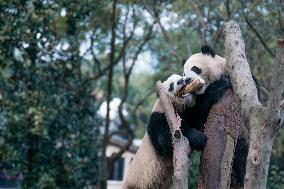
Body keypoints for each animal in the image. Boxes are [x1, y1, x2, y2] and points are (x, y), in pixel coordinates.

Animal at [182, 45, 260, 188]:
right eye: (184, 74)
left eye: (195, 68)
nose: (187, 80)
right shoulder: (197, 101)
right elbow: (198, 116)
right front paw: (221, 84)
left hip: (242, 135)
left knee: (241, 153)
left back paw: (237, 177)